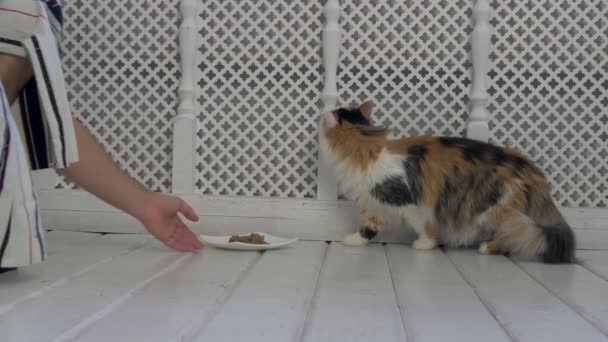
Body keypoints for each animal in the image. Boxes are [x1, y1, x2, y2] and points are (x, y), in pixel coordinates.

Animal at [320, 100, 576, 264]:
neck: (365, 145)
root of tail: (530, 168)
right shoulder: (373, 203)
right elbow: (368, 228)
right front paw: (354, 241)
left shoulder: (409, 202)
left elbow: (423, 227)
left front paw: (425, 244)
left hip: (498, 210)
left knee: (508, 236)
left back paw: (487, 248)